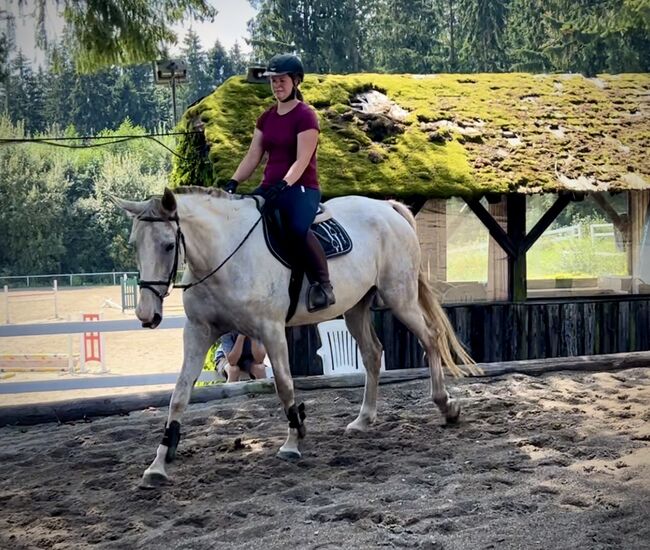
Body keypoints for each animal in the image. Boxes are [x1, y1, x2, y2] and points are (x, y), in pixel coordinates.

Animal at [112, 188, 476, 490]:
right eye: (134, 245)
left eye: (168, 245)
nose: (146, 315)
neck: (224, 255)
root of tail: (387, 207)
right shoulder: (199, 331)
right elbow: (179, 395)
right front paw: (158, 464)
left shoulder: (271, 330)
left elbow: (285, 386)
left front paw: (292, 441)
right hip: (356, 307)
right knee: (373, 354)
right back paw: (363, 419)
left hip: (400, 297)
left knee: (430, 338)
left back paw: (446, 407)